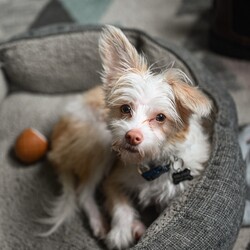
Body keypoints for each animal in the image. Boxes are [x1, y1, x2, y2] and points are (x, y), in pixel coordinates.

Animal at [41, 25, 213, 250]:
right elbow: (120, 206)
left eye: (160, 117)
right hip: (99, 144)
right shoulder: (112, 180)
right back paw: (99, 222)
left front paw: (133, 229)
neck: (153, 166)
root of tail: (55, 148)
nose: (132, 136)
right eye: (125, 108)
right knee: (84, 193)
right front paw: (122, 231)